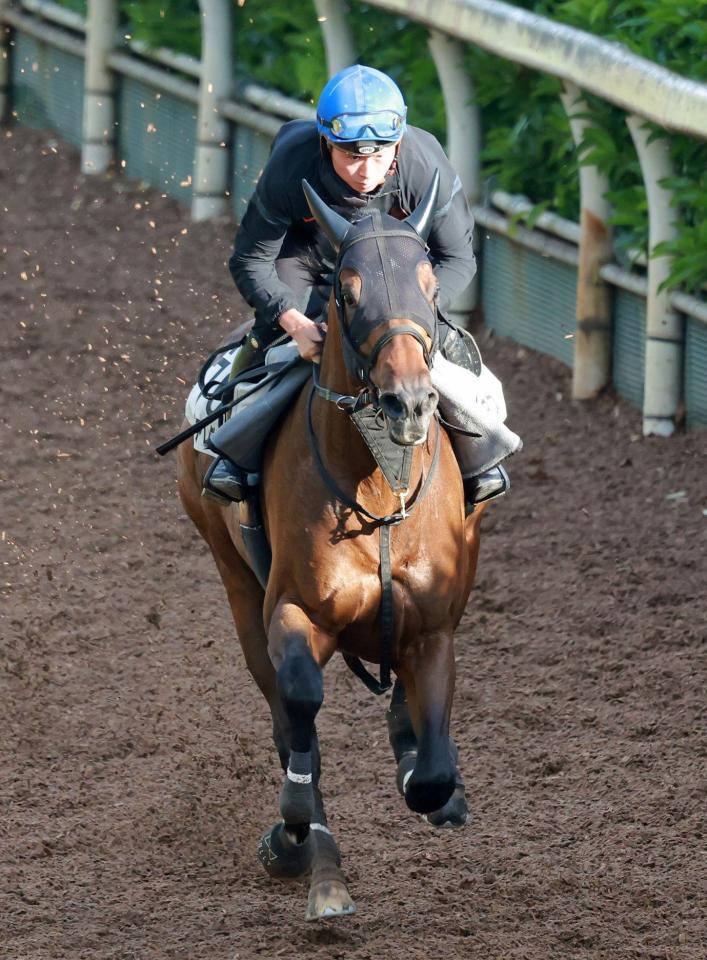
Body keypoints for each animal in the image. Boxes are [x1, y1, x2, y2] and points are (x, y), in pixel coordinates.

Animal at [175, 174, 490, 924]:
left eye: (430, 285)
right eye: (345, 293)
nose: (409, 402)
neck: (378, 490)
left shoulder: (433, 628)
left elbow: (433, 773)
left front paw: (423, 767)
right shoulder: (295, 609)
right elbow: (300, 704)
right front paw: (297, 829)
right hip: (235, 582)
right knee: (285, 711)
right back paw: (314, 864)